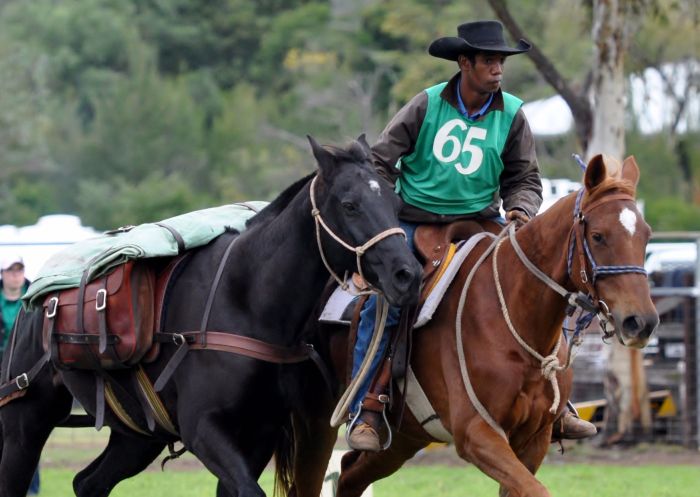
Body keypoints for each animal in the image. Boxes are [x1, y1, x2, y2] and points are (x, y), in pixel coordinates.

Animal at [0, 134, 422, 494]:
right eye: (350, 205)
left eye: (395, 204)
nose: (407, 273)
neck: (248, 302)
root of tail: (33, 303)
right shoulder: (204, 429)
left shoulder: (258, 434)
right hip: (24, 423)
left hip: (136, 435)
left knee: (88, 483)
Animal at [292, 154, 660, 496]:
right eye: (598, 236)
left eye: (646, 236)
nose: (640, 321)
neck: (514, 318)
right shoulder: (477, 434)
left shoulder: (534, 439)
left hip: (404, 438)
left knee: (349, 474)